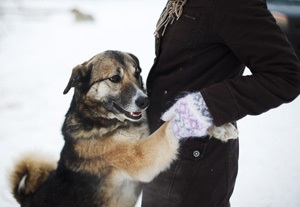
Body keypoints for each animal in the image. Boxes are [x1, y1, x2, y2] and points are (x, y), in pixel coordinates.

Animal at [10, 50, 238, 207]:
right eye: (114, 78)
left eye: (137, 73)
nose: (145, 101)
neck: (103, 120)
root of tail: (26, 198)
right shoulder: (140, 157)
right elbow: (167, 127)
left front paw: (217, 126)